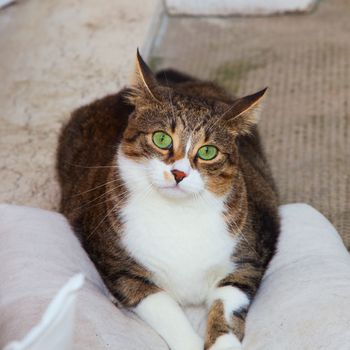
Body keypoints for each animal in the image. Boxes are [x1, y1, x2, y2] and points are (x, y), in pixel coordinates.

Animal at [56, 50, 278, 350]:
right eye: (161, 138)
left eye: (208, 152)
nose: (179, 173)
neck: (178, 214)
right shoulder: (121, 269)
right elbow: (166, 310)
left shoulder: (248, 259)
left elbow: (227, 310)